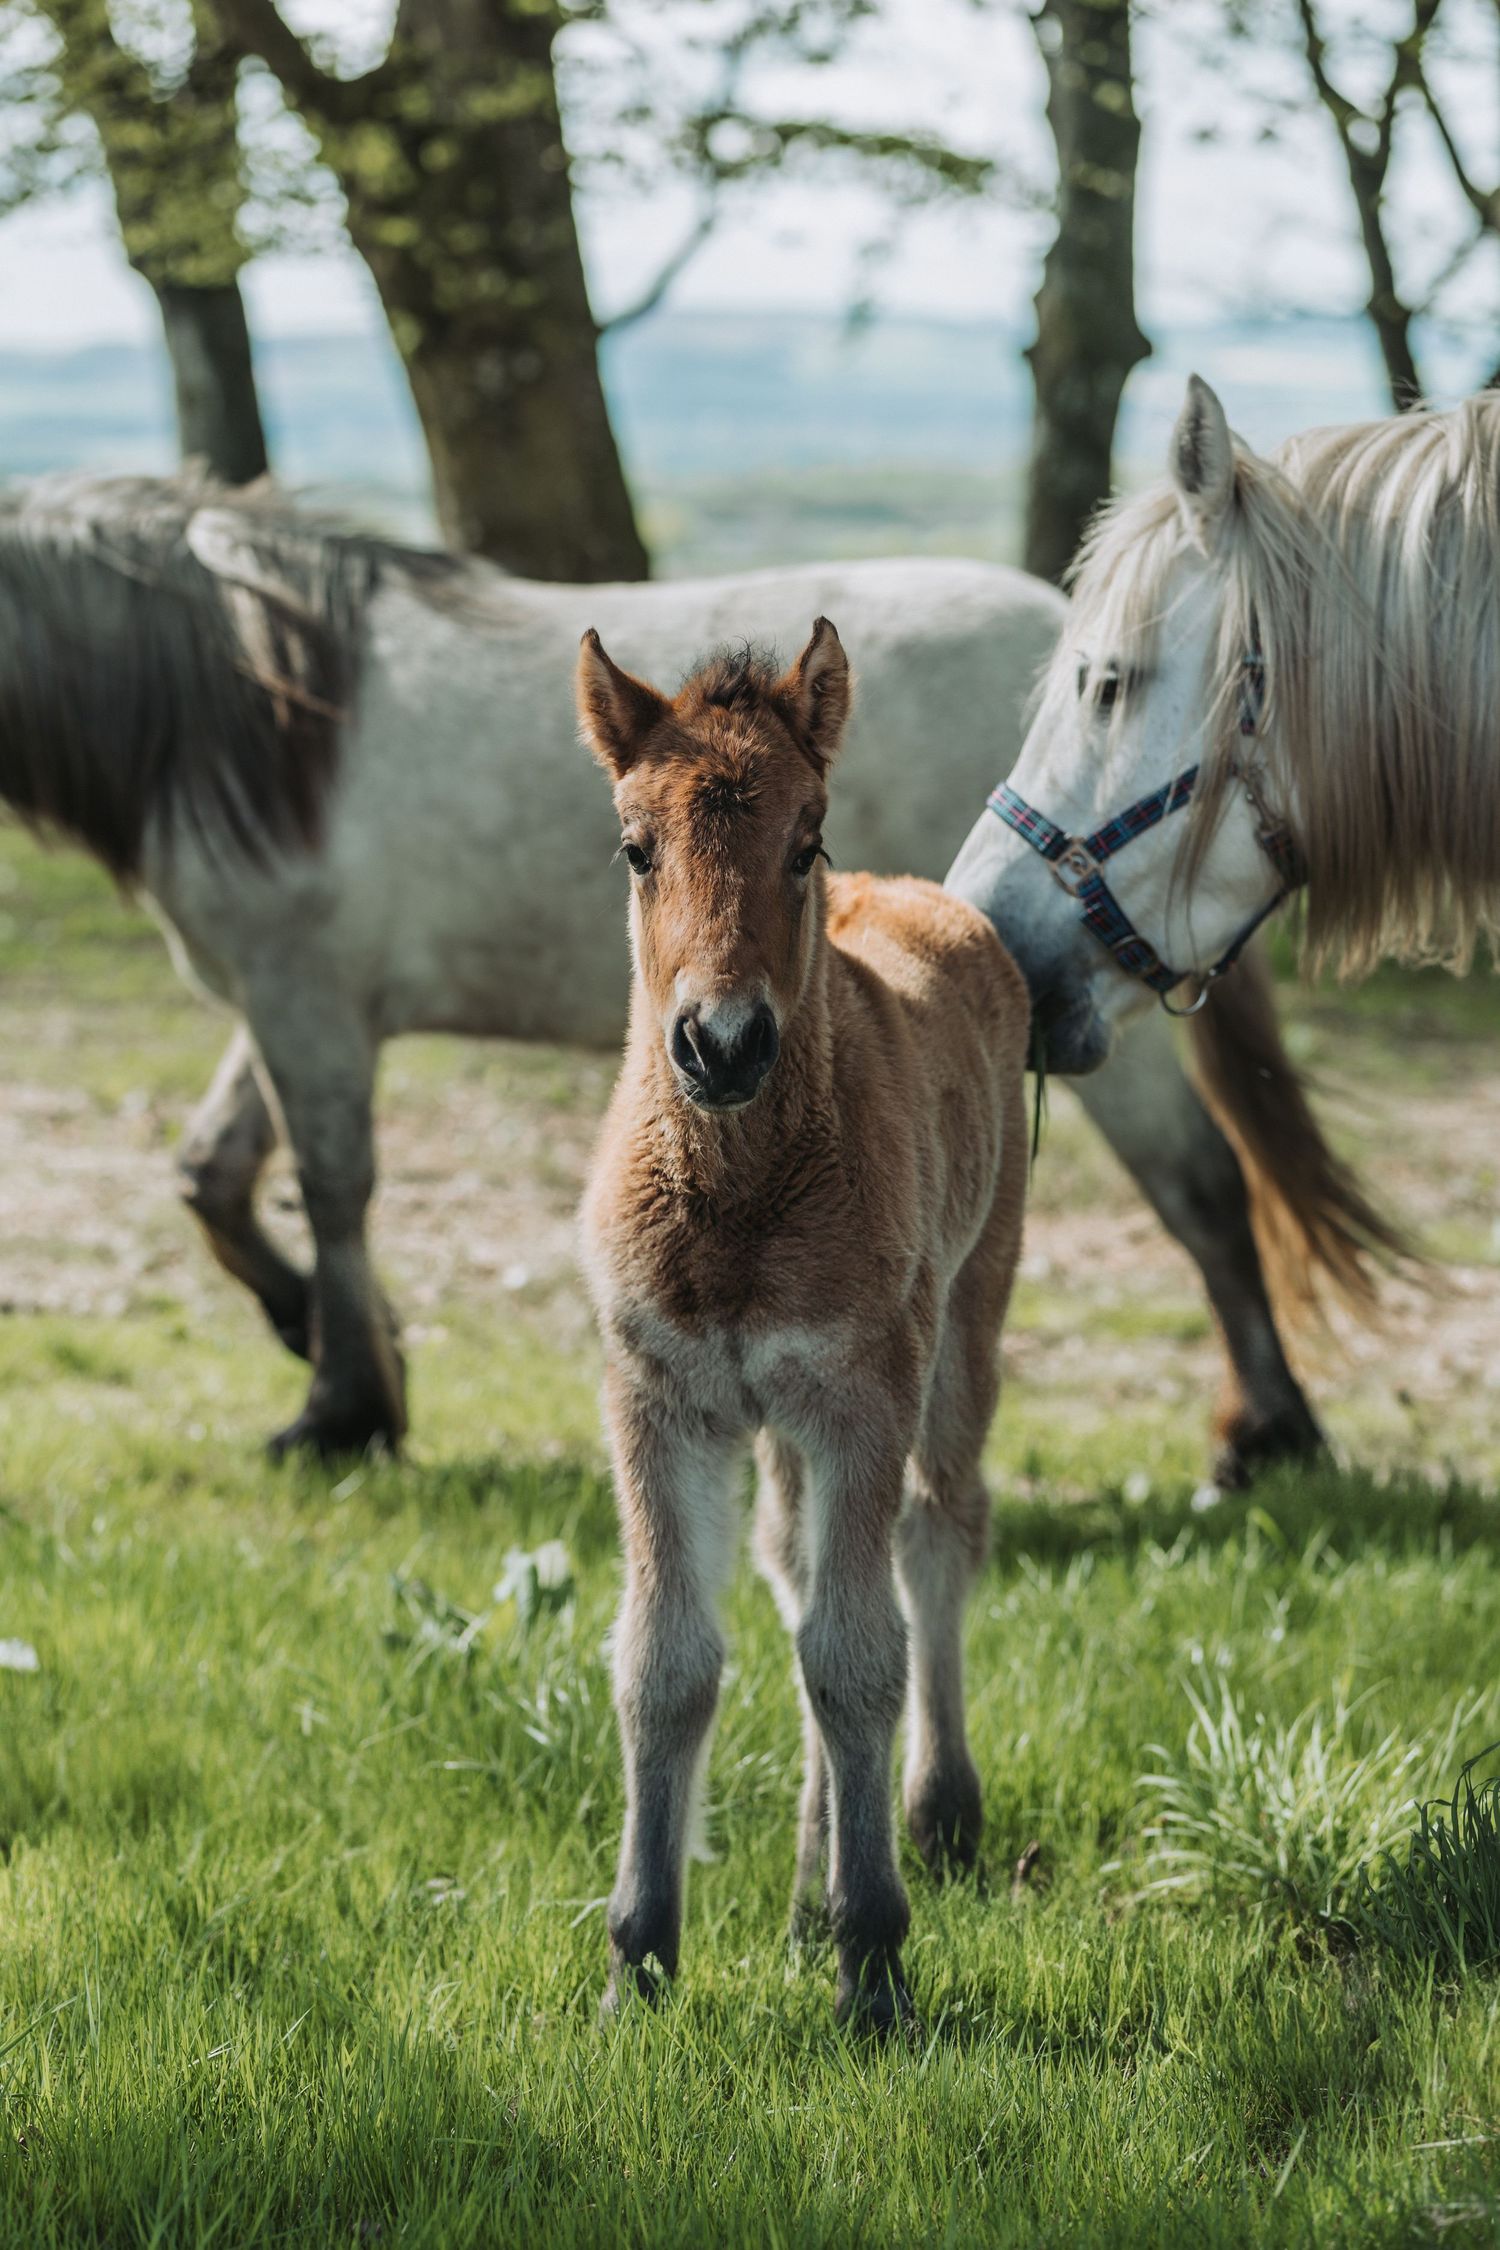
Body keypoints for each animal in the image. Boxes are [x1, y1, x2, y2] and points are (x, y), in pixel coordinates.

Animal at [0, 470, 1397, 1471]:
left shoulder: (306, 1002)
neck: (267, 715)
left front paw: (342, 1408)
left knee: (1203, 1189)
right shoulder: (290, 1006)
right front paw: (336, 1349)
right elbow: (216, 1175)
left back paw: (1269, 1435)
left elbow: (333, 1188)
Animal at [577, 619, 1030, 2033]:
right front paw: (638, 1961)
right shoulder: (659, 1396)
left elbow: (857, 1656)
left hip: (966, 1319)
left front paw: (875, 1962)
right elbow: (667, 1660)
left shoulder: (858, 1392)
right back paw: (801, 1895)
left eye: (804, 838)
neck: (737, 1206)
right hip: (776, 1424)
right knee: (795, 1576)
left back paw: (936, 1815)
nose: (722, 1044)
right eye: (635, 845)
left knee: (935, 1539)